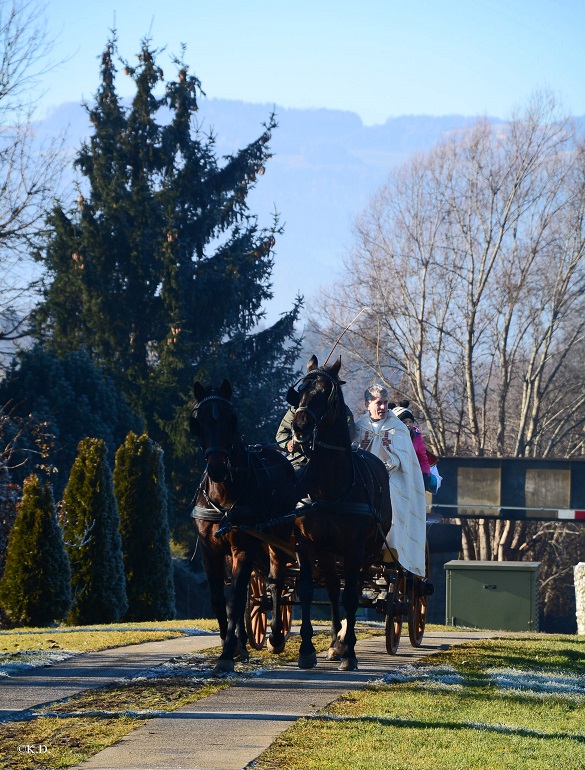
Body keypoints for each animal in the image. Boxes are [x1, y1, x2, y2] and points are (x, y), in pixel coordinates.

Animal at [190, 378, 298, 672]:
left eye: (232, 419)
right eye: (198, 421)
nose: (217, 468)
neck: (223, 494)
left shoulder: (244, 548)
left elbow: (236, 599)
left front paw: (227, 652)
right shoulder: (210, 551)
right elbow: (220, 600)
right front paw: (234, 646)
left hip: (278, 537)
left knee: (276, 582)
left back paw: (275, 636)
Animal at [288, 354, 390, 664]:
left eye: (324, 392)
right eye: (300, 390)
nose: (299, 426)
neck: (330, 488)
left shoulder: (355, 547)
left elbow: (351, 597)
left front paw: (350, 652)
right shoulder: (306, 543)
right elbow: (308, 591)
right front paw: (307, 650)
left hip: (368, 552)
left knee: (352, 589)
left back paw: (345, 642)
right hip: (328, 551)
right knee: (333, 588)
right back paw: (335, 641)